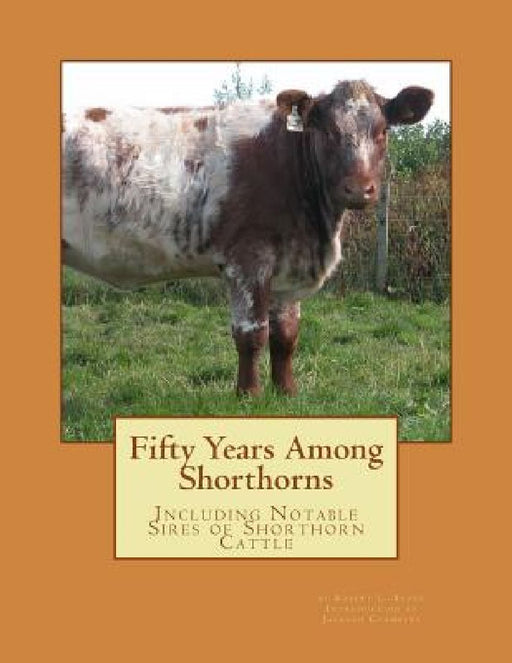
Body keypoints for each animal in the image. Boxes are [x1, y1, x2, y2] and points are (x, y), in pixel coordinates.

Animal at [62, 80, 433, 395]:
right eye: (328, 131)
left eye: (382, 131)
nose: (359, 189)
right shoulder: (248, 259)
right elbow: (251, 333)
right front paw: (249, 395)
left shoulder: (288, 264)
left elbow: (286, 335)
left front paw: (286, 392)